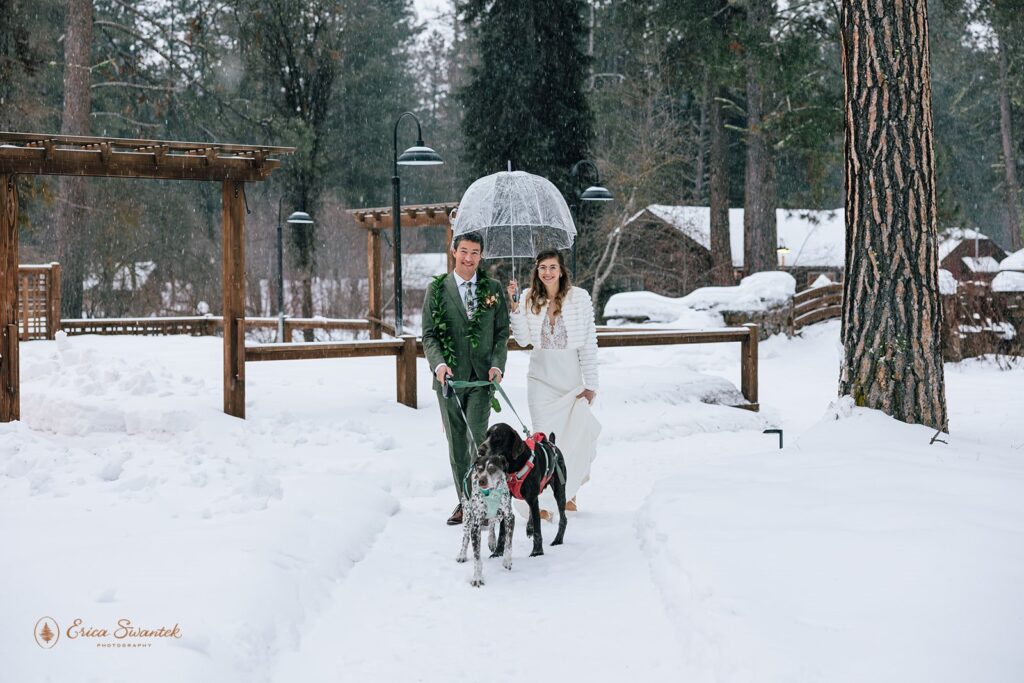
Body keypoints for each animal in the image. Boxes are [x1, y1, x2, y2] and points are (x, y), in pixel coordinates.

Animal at [458, 450, 516, 585]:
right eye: (479, 469)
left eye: (492, 468)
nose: (481, 481)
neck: (491, 493)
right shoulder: (475, 526)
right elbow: (477, 557)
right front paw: (477, 578)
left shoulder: (509, 517)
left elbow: (508, 543)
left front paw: (507, 560)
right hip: (467, 516)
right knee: (465, 537)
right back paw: (462, 554)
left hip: (498, 516)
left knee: (492, 523)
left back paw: (492, 540)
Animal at [473, 423, 565, 557]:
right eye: (487, 435)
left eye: (497, 436)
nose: (480, 450)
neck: (513, 466)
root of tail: (552, 444)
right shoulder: (506, 501)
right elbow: (502, 532)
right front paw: (498, 552)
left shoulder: (532, 498)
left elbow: (538, 530)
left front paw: (537, 552)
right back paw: (529, 527)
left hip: (559, 491)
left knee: (563, 518)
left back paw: (558, 539)